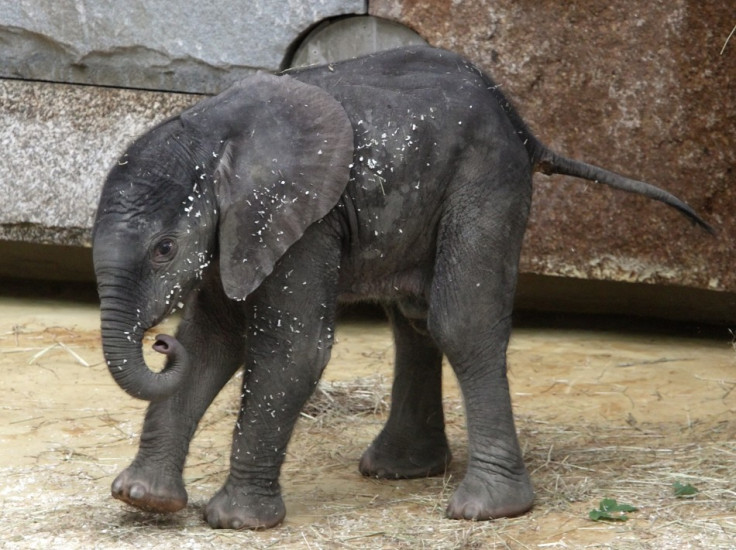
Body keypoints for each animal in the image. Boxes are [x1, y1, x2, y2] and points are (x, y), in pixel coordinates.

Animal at [90, 46, 708, 532]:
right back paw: (399, 470)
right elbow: (212, 342)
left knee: (459, 321)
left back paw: (485, 508)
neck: (209, 134)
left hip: (485, 179)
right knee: (415, 319)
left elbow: (291, 350)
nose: (158, 341)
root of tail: (520, 122)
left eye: (164, 249)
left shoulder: (303, 222)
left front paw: (234, 520)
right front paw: (142, 500)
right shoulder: (240, 229)